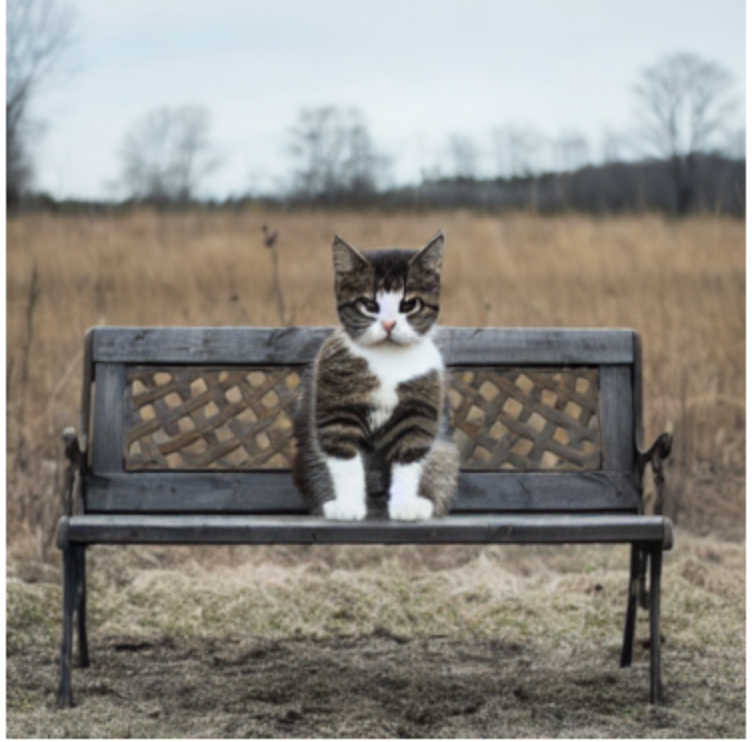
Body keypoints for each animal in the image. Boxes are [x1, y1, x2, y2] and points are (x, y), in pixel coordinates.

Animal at [292, 232, 458, 524]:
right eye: (369, 305)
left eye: (409, 304)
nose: (389, 324)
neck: (387, 360)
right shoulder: (337, 408)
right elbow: (345, 458)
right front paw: (348, 506)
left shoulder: (417, 411)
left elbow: (409, 456)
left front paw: (405, 507)